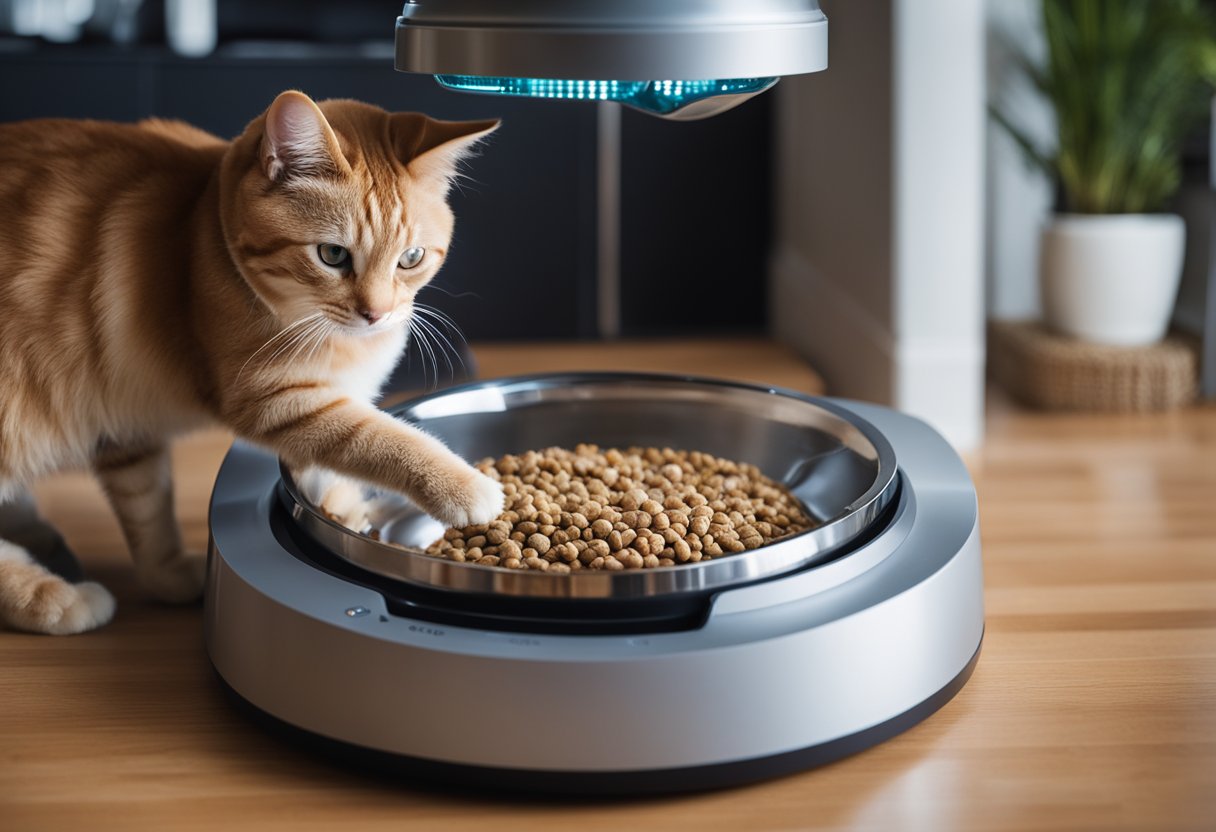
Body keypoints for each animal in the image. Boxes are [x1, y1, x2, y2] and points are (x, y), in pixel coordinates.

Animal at [0, 91, 505, 632]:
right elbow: (379, 439)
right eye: (332, 255)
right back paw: (54, 596)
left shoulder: (125, 422)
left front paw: (171, 574)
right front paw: (464, 488)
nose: (376, 314)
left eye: (410, 258)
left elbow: (148, 508)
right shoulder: (276, 401)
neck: (199, 231)